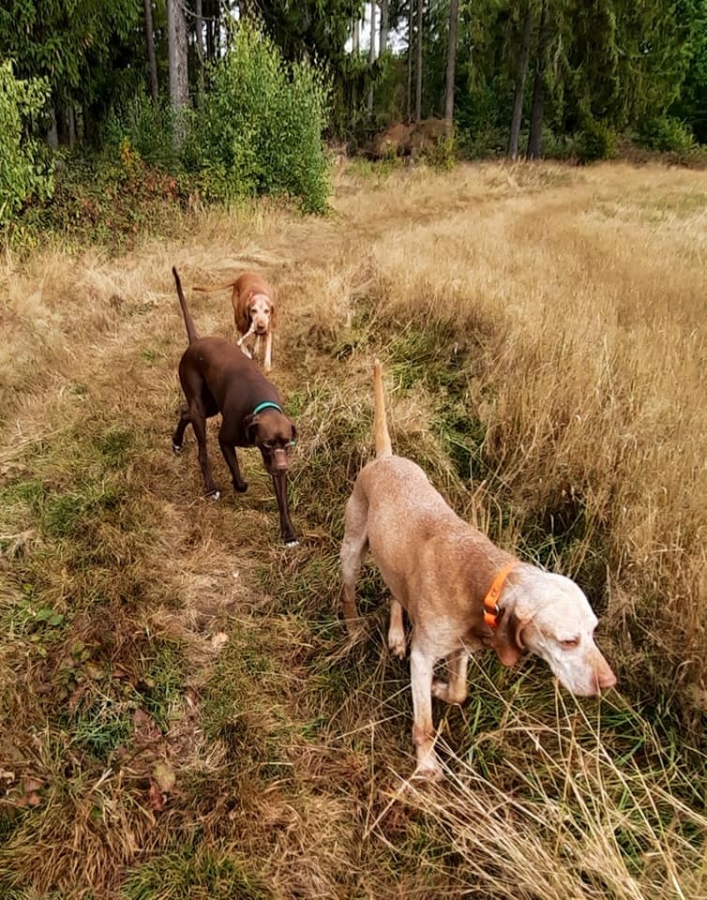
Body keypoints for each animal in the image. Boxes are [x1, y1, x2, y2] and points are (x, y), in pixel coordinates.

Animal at [171, 267, 298, 546]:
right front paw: (240, 485)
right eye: (267, 443)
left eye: (287, 443)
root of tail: (195, 342)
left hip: (209, 405)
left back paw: (176, 442)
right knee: (202, 451)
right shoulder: (226, 440)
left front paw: (289, 533)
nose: (282, 467)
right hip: (202, 409)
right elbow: (238, 475)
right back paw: (211, 487)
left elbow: (283, 502)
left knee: (185, 411)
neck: (261, 406)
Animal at [340, 360, 616, 777]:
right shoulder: (424, 658)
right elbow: (424, 724)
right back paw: (355, 628)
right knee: (350, 594)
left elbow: (459, 691)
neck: (481, 580)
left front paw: (439, 690)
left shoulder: (461, 650)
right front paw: (426, 765)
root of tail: (387, 458)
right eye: (568, 640)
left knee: (395, 594)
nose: (609, 682)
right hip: (352, 551)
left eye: (594, 631)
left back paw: (396, 634)